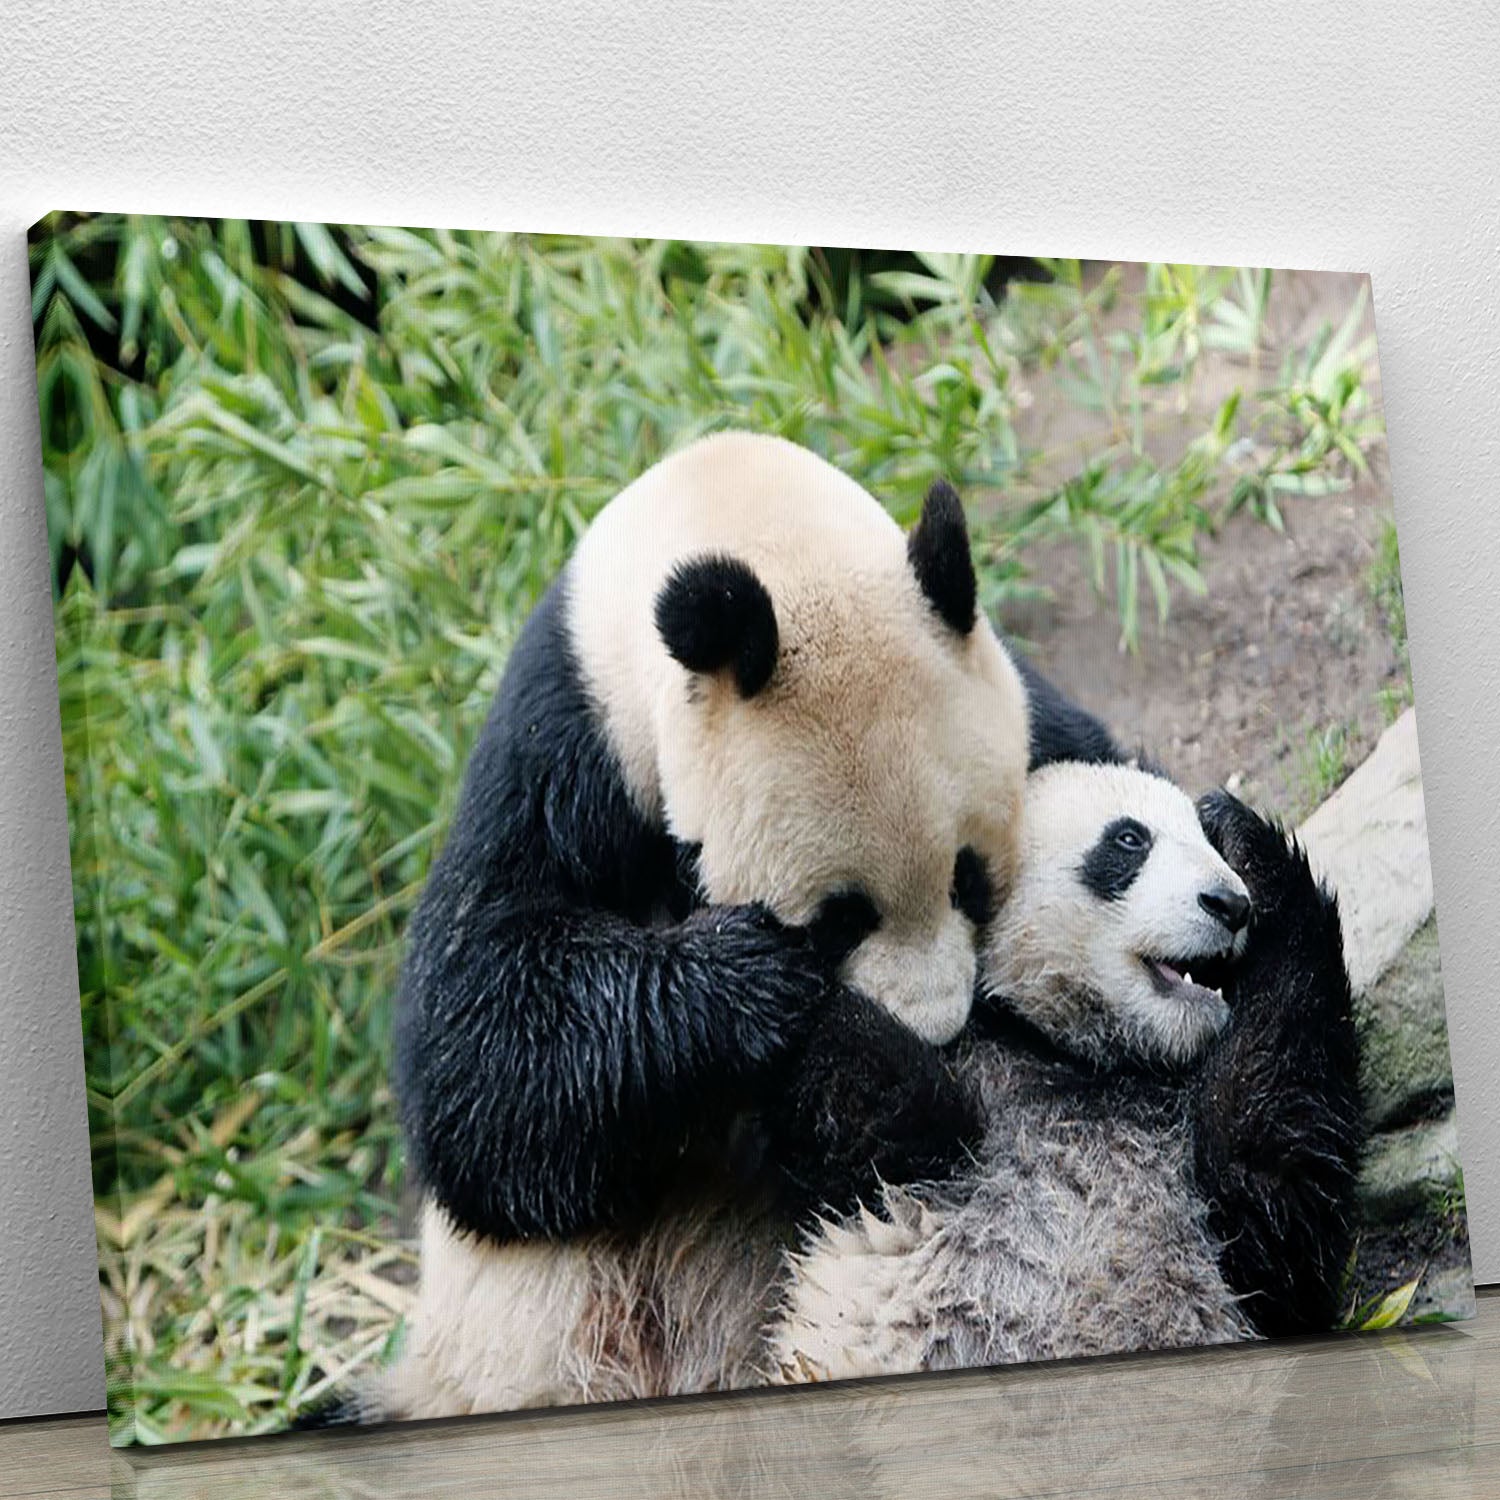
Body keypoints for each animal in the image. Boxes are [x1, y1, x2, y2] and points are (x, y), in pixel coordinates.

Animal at [308, 432, 1033, 1424]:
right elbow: (476, 1051)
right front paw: (757, 990)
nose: (937, 1029)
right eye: (839, 920)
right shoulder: (564, 747)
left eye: (969, 877)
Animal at [769, 762, 1365, 1383]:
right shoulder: (973, 1087)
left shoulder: (1220, 1214)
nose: (1228, 903)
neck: (1088, 1058)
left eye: (1207, 845)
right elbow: (877, 1104)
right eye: (1129, 839)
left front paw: (1247, 839)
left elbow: (1278, 1182)